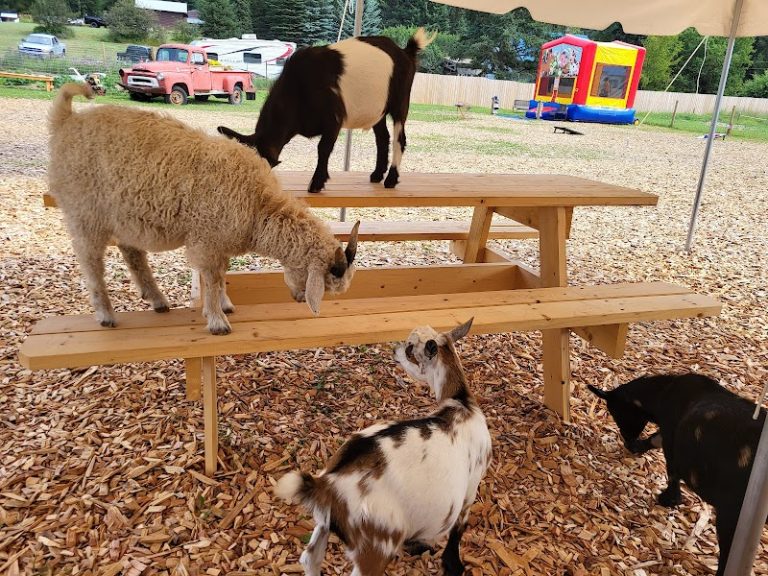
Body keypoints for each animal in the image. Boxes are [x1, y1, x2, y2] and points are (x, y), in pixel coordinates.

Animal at [48, 83, 360, 335]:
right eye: (329, 283)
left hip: (125, 215)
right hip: (84, 211)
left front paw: (224, 304)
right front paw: (217, 320)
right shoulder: (208, 239)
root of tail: (65, 120)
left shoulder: (220, 241)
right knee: (91, 261)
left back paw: (157, 300)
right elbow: (211, 277)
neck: (258, 205)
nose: (298, 299)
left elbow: (221, 275)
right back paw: (105, 315)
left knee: (132, 252)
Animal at [217, 28, 435, 193]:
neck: (299, 86)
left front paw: (316, 183)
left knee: (400, 138)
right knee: (382, 138)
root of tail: (405, 52)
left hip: (400, 103)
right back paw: (376, 175)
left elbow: (323, 149)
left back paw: (391, 179)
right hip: (377, 110)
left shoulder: (334, 120)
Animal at [275, 318, 491, 575]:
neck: (462, 404)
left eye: (410, 350)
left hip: (325, 522)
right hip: (376, 542)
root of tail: (327, 483)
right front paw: (453, 564)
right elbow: (458, 529)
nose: (395, 349)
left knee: (311, 558)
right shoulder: (471, 484)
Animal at [588, 373, 767, 576]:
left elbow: (670, 467)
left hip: (732, 516)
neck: (666, 390)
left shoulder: (671, 438)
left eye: (617, 413)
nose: (627, 438)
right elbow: (655, 439)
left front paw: (668, 499)